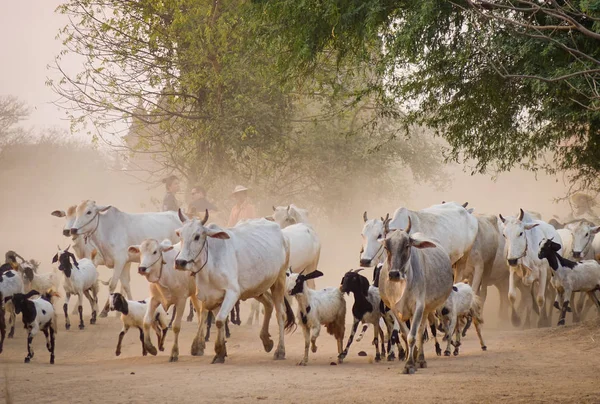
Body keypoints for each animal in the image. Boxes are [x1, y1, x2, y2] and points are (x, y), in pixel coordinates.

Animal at [173, 210, 296, 364]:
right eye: (180, 234)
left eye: (197, 236)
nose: (180, 262)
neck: (210, 262)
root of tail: (281, 232)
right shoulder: (211, 297)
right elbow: (216, 319)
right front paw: (220, 351)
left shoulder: (232, 293)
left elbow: (220, 320)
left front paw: (219, 351)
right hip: (256, 287)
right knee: (268, 304)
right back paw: (266, 340)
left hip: (279, 280)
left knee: (281, 314)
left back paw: (280, 351)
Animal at [378, 219, 452, 374]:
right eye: (386, 247)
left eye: (407, 245)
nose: (394, 274)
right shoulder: (395, 309)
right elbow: (405, 334)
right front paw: (410, 357)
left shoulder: (419, 306)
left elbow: (413, 336)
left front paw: (410, 364)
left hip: (426, 309)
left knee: (420, 331)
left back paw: (421, 359)